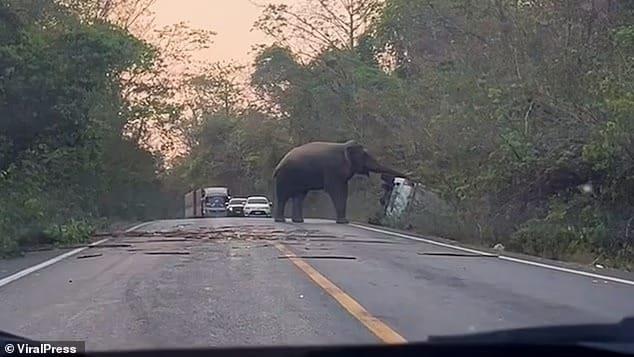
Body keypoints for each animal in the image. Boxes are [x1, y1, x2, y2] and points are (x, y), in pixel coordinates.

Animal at [270, 139, 408, 222]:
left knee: (299, 196)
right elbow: (337, 191)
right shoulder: (333, 170)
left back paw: (298, 221)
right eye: (365, 156)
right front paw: (344, 222)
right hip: (286, 176)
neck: (345, 146)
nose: (388, 179)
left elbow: (343, 191)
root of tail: (278, 165)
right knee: (283, 196)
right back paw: (281, 220)